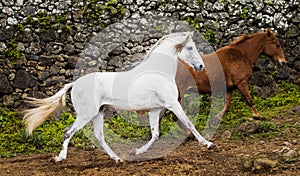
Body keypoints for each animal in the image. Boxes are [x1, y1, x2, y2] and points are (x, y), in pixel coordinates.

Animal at [24, 32, 213, 162]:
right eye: (190, 47)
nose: (201, 66)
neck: (159, 71)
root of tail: (75, 83)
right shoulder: (172, 104)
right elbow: (189, 123)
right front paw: (208, 144)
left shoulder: (155, 109)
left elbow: (155, 134)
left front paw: (136, 152)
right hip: (86, 114)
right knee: (68, 131)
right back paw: (60, 158)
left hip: (98, 113)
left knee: (99, 136)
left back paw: (117, 159)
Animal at [138, 29, 286, 132]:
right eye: (277, 45)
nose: (283, 62)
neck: (241, 55)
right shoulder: (242, 83)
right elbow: (249, 100)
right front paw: (258, 116)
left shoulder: (230, 88)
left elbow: (226, 107)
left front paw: (214, 121)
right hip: (177, 95)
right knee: (174, 117)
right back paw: (189, 135)